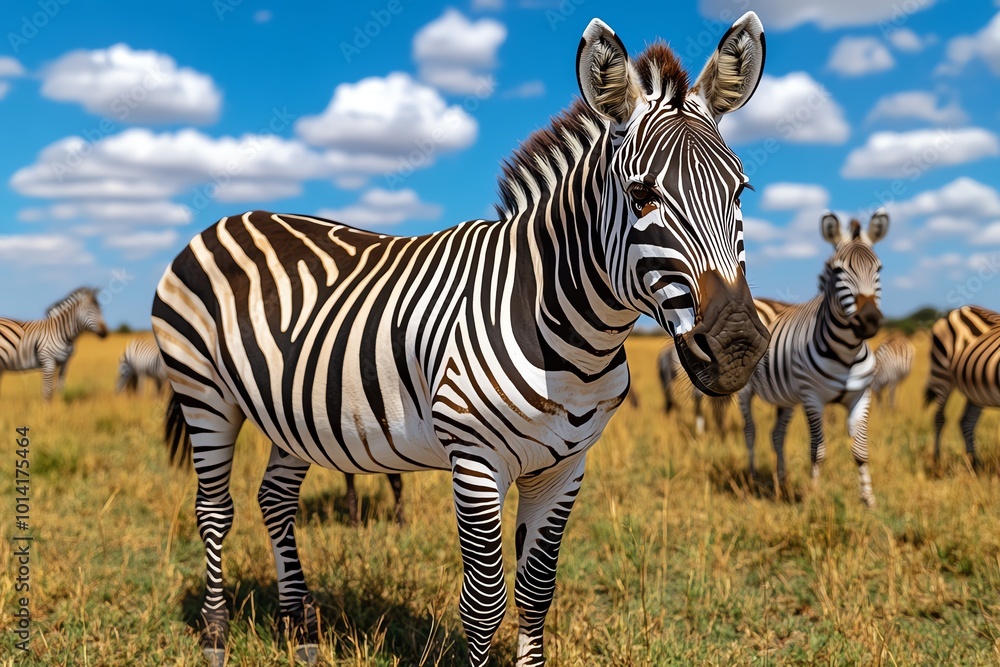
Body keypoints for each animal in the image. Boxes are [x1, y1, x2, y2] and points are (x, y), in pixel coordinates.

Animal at [152, 14, 769, 667]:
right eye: (643, 195)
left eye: (741, 192)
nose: (735, 346)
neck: (570, 338)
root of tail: (225, 219)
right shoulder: (474, 459)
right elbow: (485, 602)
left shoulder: (566, 466)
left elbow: (536, 592)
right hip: (204, 392)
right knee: (214, 510)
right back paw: (217, 637)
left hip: (291, 410)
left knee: (274, 499)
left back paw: (301, 633)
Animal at [739, 211, 889, 508]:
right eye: (838, 271)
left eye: (878, 270)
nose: (869, 320)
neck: (847, 351)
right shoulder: (813, 398)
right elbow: (817, 450)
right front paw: (814, 498)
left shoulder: (861, 396)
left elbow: (861, 450)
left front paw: (868, 499)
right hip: (745, 392)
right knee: (750, 432)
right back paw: (752, 478)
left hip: (785, 396)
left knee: (776, 434)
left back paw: (781, 480)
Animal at [926, 305, 1000, 469]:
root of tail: (962, 309)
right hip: (942, 374)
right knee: (939, 418)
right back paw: (937, 464)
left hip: (976, 391)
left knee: (967, 421)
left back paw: (975, 465)